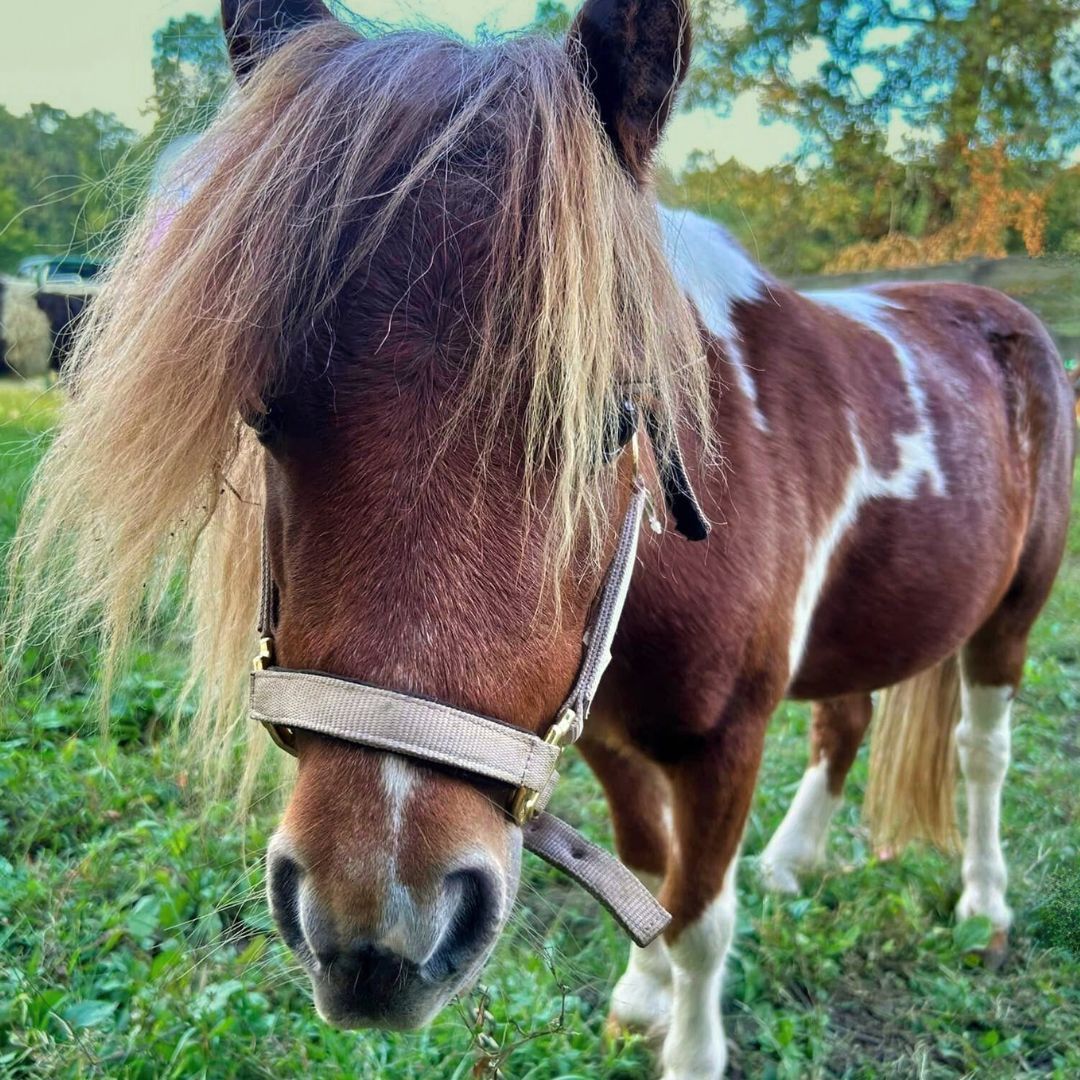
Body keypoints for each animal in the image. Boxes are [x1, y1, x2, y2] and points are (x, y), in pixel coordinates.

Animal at [4, 1, 1074, 1076]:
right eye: (262, 416)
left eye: (613, 421)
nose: (379, 929)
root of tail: (1000, 312)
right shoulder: (592, 731)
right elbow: (645, 863)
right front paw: (639, 1000)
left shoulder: (725, 742)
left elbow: (697, 915)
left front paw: (689, 1043)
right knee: (846, 720)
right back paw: (793, 860)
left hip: (1011, 618)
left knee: (981, 752)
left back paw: (983, 907)